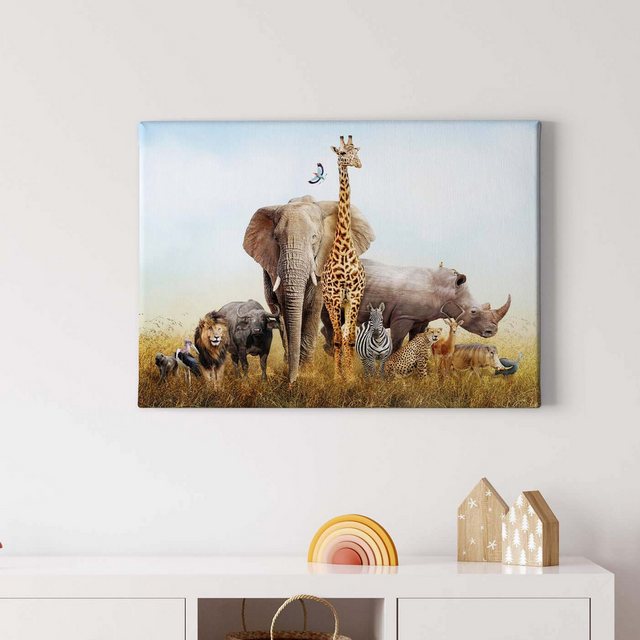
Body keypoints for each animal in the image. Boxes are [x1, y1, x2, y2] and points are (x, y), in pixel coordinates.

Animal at [243, 195, 375, 383]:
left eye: (314, 237)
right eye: (276, 238)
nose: (291, 382)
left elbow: (313, 305)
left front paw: (305, 372)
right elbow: (285, 305)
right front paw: (293, 369)